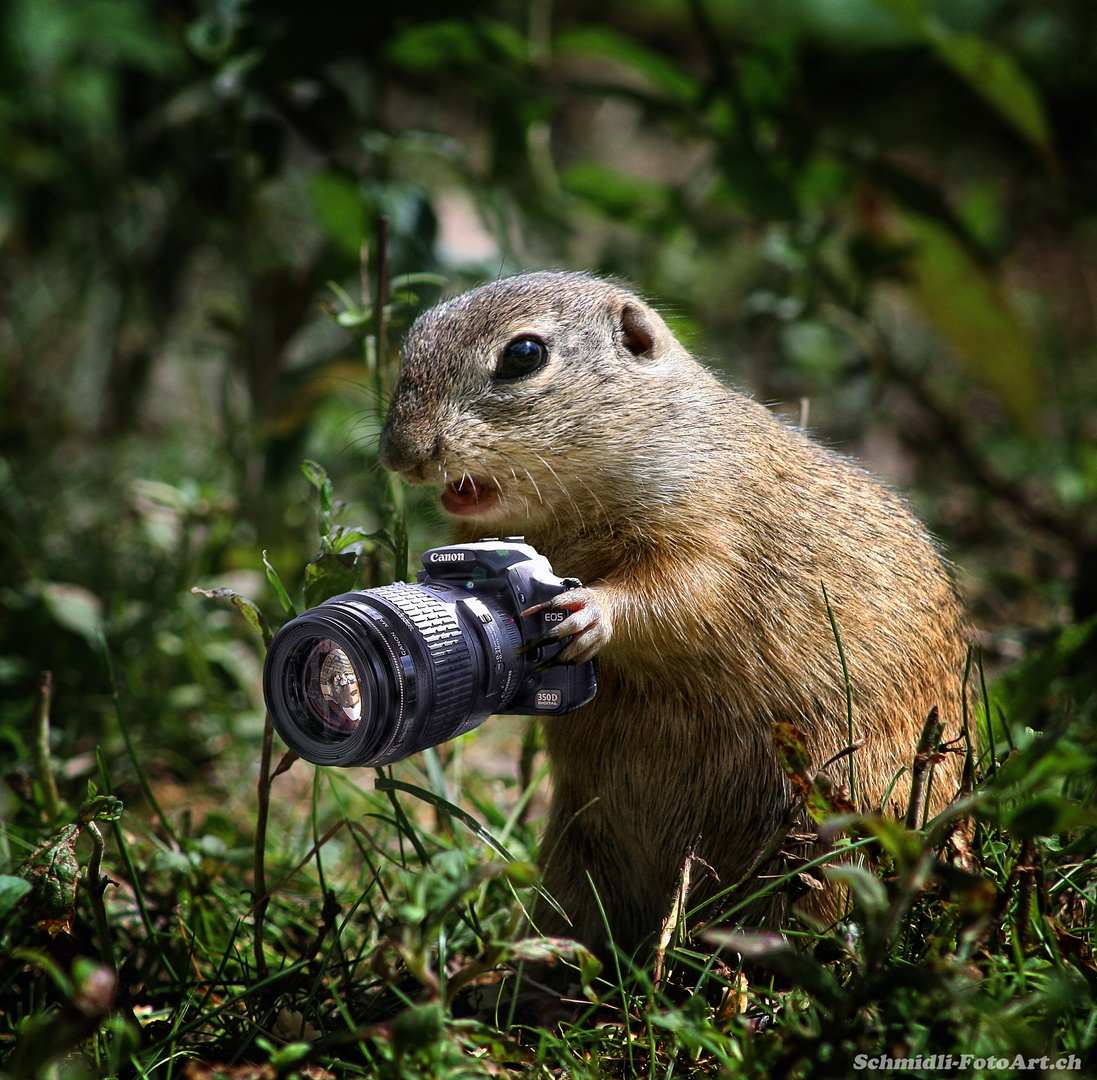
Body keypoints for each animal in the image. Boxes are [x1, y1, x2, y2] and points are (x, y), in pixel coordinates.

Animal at [379, 274, 969, 956]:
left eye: (524, 355)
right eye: (412, 339)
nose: (401, 453)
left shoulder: (710, 526)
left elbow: (681, 591)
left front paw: (588, 613)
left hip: (836, 826)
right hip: (578, 852)